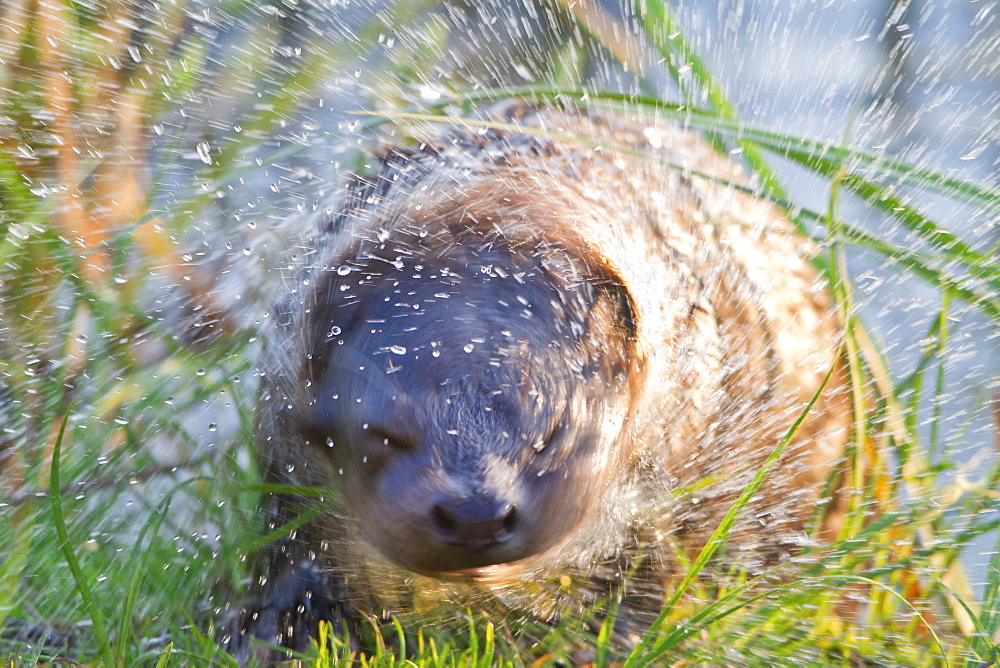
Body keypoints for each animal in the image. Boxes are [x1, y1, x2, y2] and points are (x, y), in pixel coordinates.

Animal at [229, 102, 852, 660]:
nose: (474, 515)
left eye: (552, 434)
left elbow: (656, 574)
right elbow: (293, 545)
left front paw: (610, 643)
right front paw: (279, 629)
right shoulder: (280, 439)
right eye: (385, 434)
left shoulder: (682, 477)